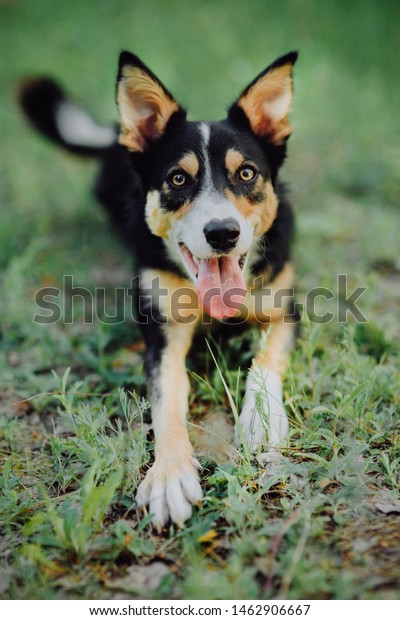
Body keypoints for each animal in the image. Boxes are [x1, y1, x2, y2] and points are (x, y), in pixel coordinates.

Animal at [20, 50, 298, 532]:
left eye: (246, 173)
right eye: (177, 180)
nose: (222, 233)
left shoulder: (285, 308)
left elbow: (266, 359)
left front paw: (262, 418)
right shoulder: (161, 335)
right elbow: (167, 400)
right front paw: (169, 475)